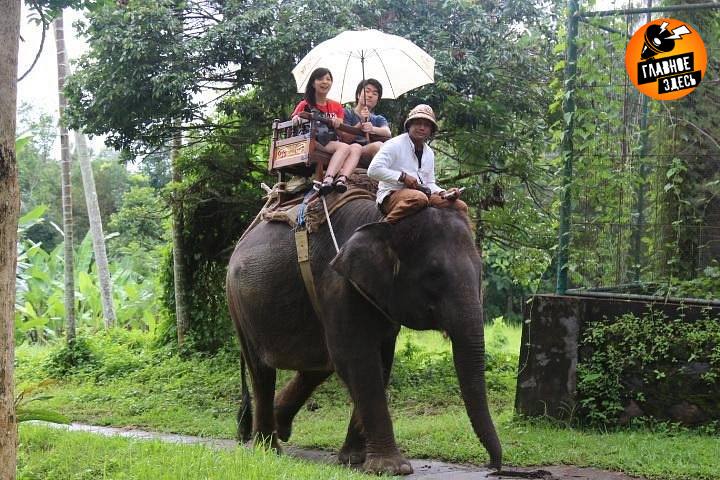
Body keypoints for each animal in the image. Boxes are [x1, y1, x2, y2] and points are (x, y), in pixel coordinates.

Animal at [225, 196, 502, 475]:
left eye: (481, 270)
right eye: (433, 275)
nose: (493, 466)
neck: (381, 221)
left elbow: (381, 361)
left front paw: (354, 459)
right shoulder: (338, 286)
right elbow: (357, 358)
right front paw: (392, 468)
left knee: (319, 364)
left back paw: (280, 425)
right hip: (238, 304)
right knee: (262, 371)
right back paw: (268, 450)